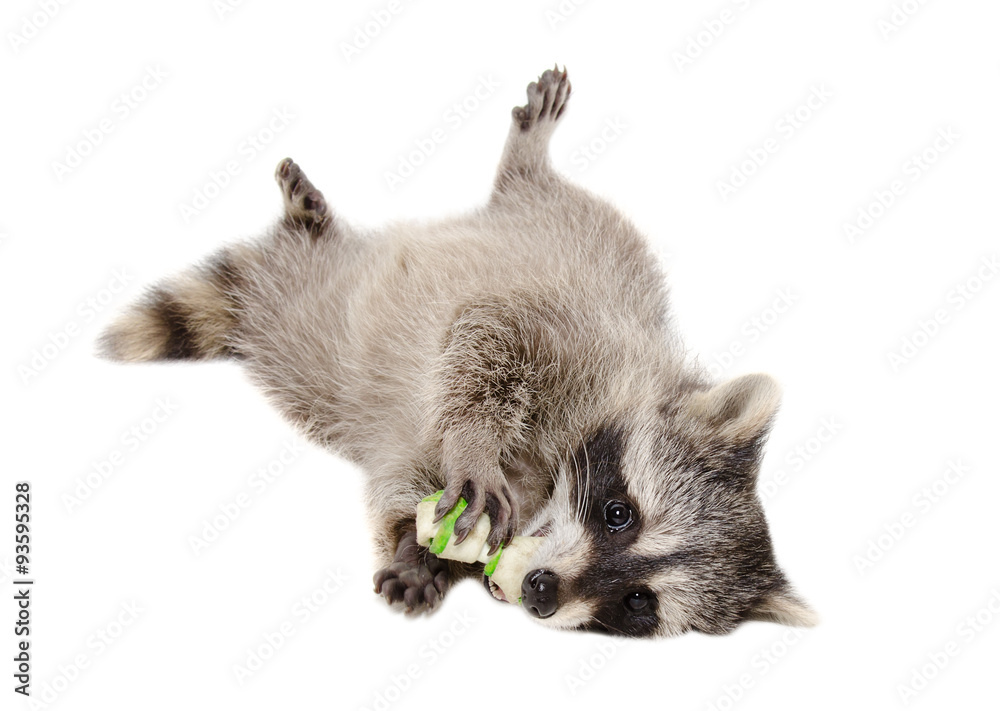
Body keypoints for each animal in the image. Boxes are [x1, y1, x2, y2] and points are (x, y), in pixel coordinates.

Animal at [99, 67, 816, 637]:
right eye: (620, 514)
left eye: (638, 602)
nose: (542, 592)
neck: (545, 483)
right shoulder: (586, 339)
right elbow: (486, 336)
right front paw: (468, 456)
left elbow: (400, 475)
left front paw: (427, 555)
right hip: (574, 231)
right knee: (545, 199)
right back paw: (514, 162)